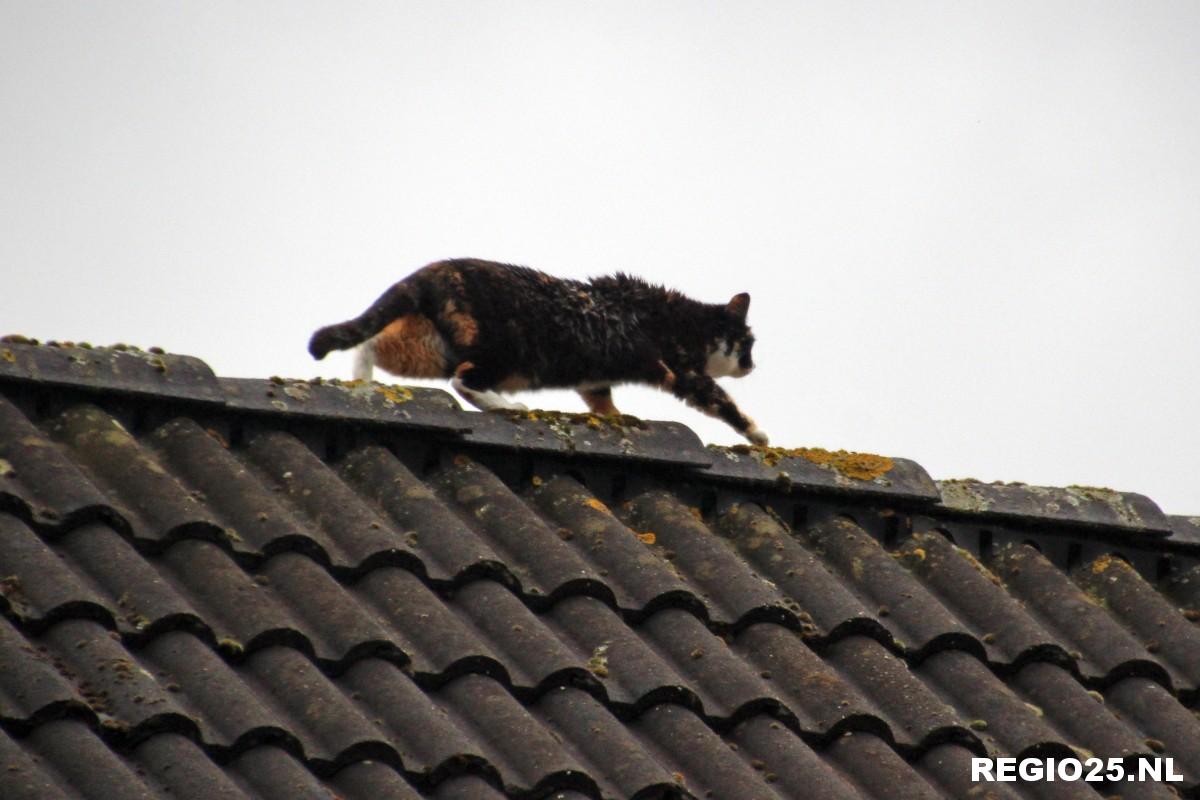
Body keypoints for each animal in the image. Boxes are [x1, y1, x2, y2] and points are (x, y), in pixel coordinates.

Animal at [309, 260, 768, 443]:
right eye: (748, 344)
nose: (752, 365)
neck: (684, 322)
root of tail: (430, 272)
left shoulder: (595, 381)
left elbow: (602, 401)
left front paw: (617, 419)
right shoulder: (681, 369)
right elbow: (719, 400)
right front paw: (757, 435)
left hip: (430, 347)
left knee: (373, 341)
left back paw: (363, 380)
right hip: (499, 348)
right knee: (464, 380)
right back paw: (506, 405)